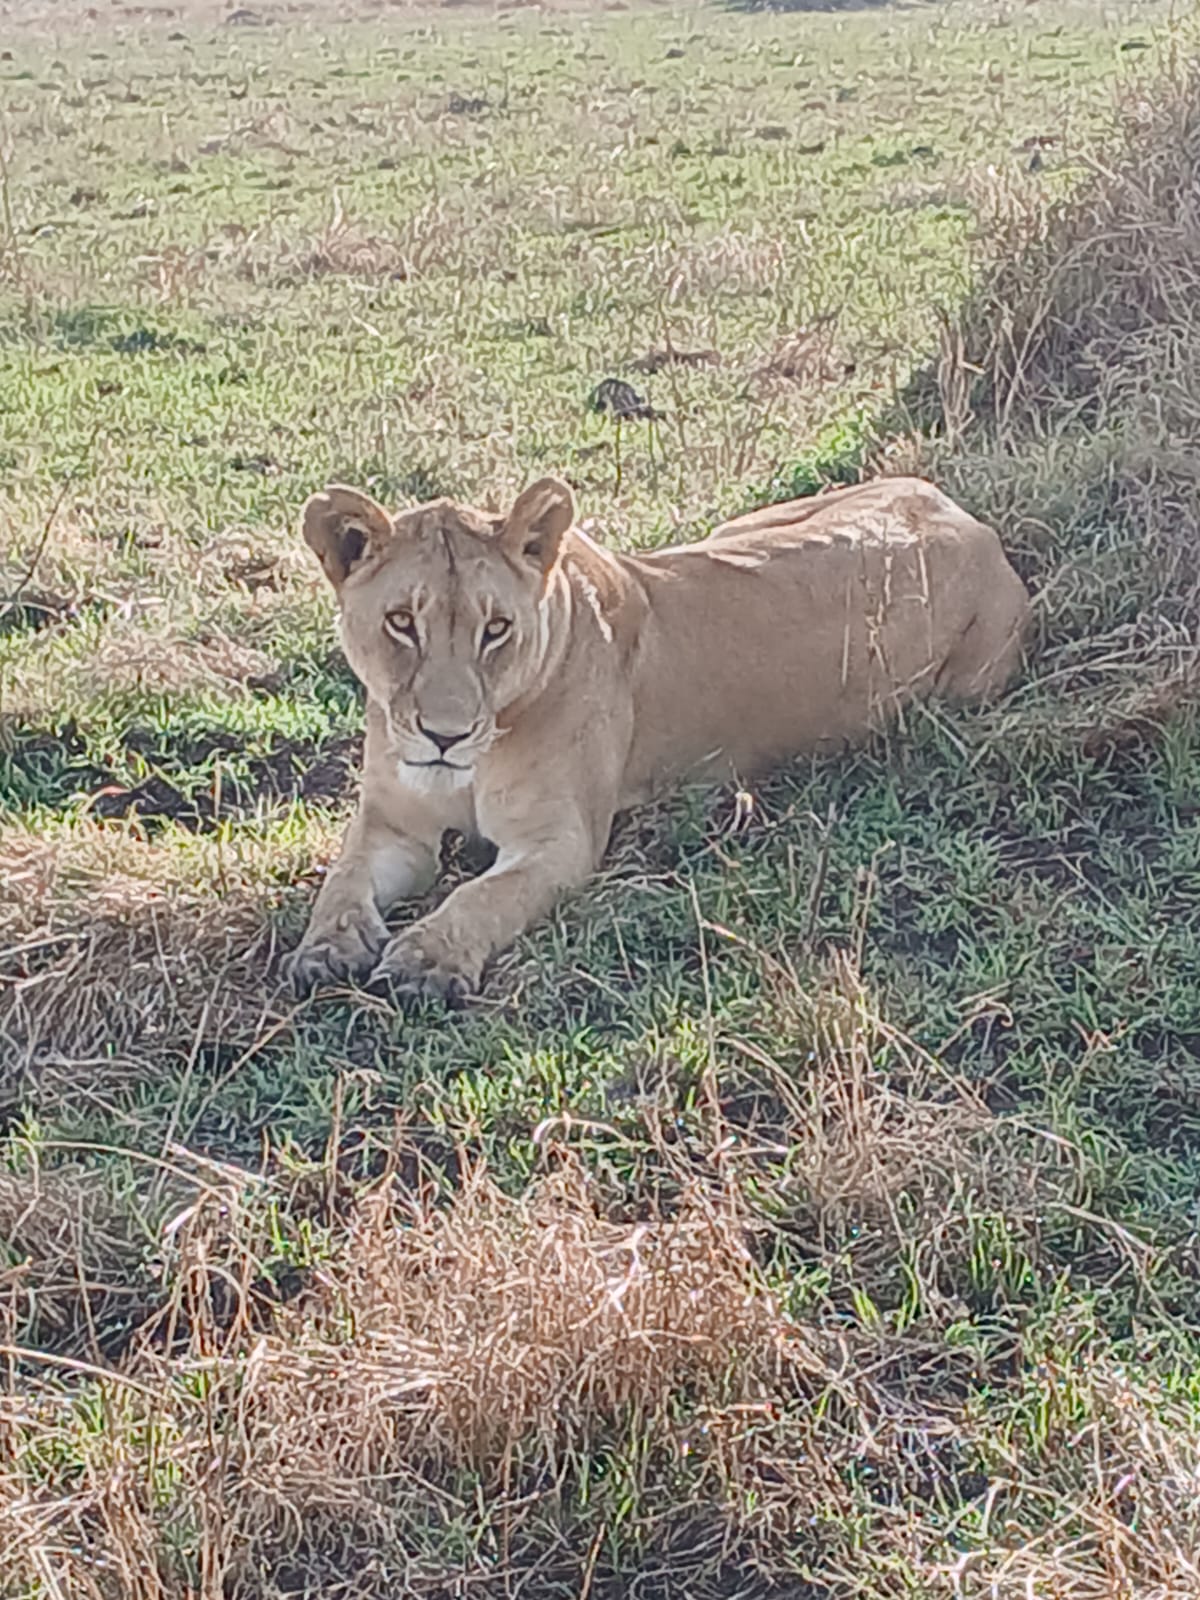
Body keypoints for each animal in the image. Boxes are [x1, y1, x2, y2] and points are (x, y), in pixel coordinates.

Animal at [283, 474, 1030, 1005]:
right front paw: (326, 950)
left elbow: (482, 897)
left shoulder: (561, 842)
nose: (446, 735)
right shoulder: (390, 824)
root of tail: (966, 518)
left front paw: (425, 962)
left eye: (496, 629)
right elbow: (342, 881)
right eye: (401, 622)